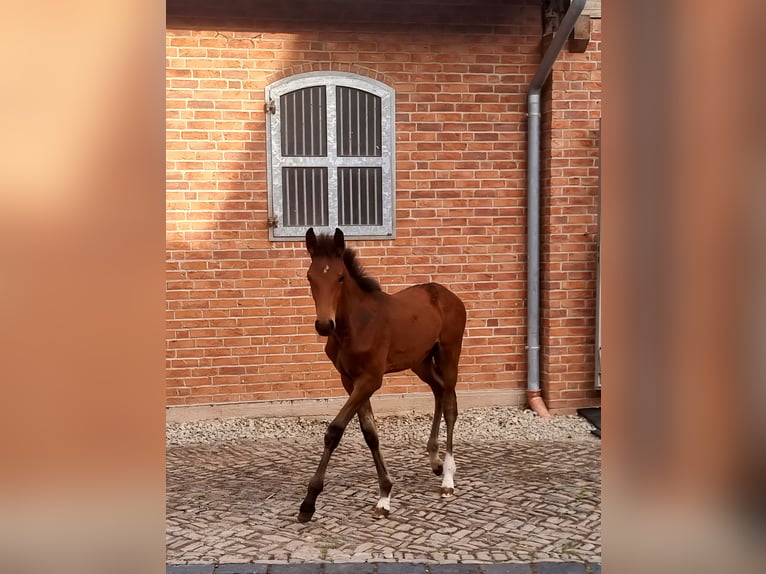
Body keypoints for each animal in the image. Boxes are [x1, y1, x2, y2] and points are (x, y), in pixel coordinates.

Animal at [297, 227, 467, 522]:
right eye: (310, 276)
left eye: (340, 277)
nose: (324, 325)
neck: (354, 326)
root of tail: (448, 295)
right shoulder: (350, 380)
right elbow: (370, 433)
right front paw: (385, 494)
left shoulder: (370, 379)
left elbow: (335, 430)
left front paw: (309, 502)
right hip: (421, 361)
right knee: (438, 390)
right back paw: (434, 460)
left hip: (449, 353)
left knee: (449, 405)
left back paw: (447, 477)